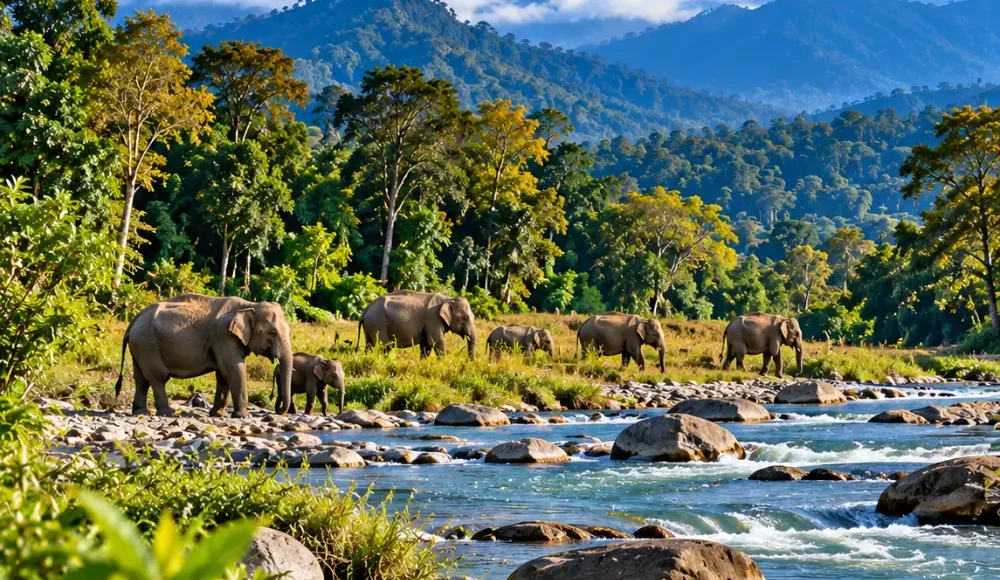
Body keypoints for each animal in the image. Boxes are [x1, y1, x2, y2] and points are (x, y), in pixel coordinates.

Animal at [114, 294, 293, 418]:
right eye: (272, 332)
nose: (279, 412)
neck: (249, 304)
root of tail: (134, 321)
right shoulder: (223, 336)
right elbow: (234, 370)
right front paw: (242, 416)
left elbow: (223, 374)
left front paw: (217, 414)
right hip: (148, 345)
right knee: (158, 377)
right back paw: (167, 412)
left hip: (139, 346)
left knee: (141, 379)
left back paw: (141, 413)